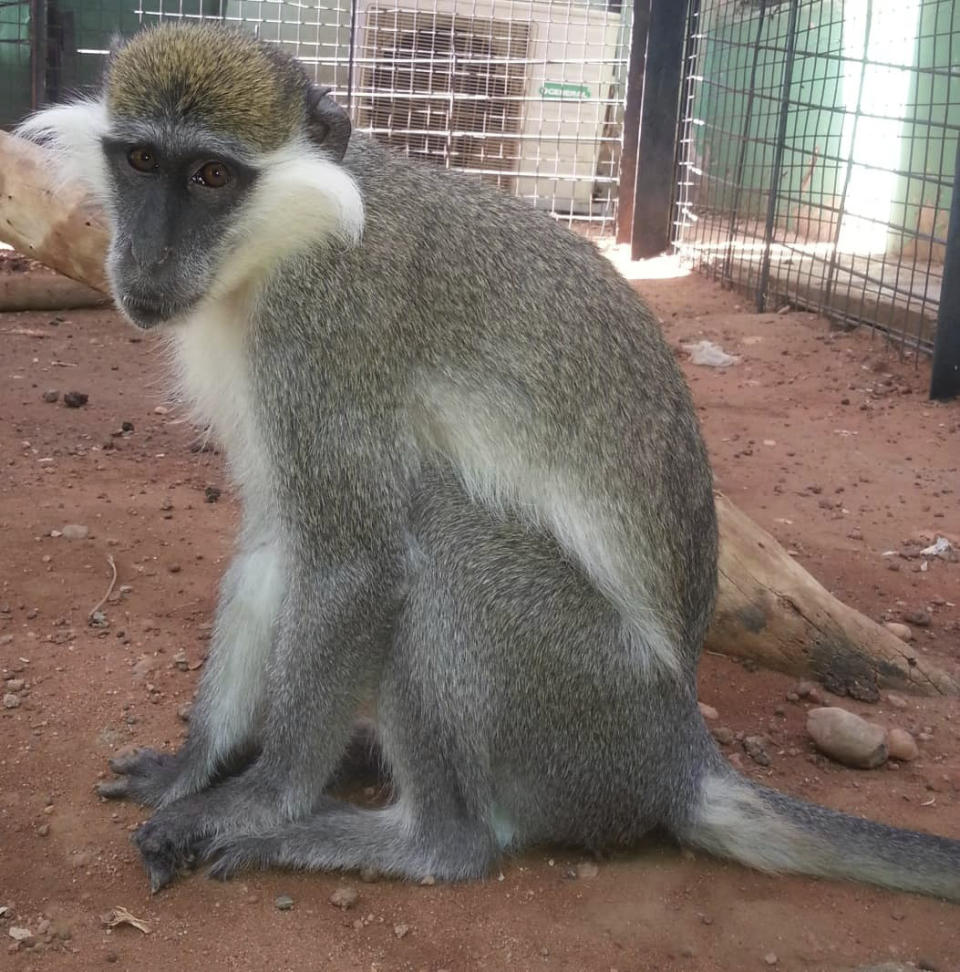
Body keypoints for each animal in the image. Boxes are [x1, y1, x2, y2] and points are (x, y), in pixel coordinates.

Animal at [20, 22, 960, 900]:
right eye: (142, 160)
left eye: (212, 177)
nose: (146, 258)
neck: (283, 241)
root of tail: (678, 762)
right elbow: (277, 540)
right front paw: (196, 765)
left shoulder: (322, 327)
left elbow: (355, 562)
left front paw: (254, 800)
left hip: (583, 703)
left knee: (440, 547)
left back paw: (408, 838)